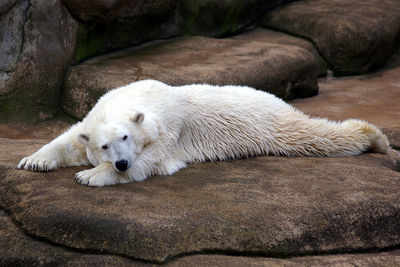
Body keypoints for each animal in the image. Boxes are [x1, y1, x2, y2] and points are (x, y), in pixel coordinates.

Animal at [18, 80, 390, 186]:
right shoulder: (92, 118)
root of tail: (273, 96)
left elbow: (152, 162)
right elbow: (70, 138)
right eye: (104, 145)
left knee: (311, 135)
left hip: (269, 121)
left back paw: (376, 137)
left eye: (126, 138)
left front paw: (91, 175)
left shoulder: (169, 129)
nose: (120, 163)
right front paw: (33, 161)